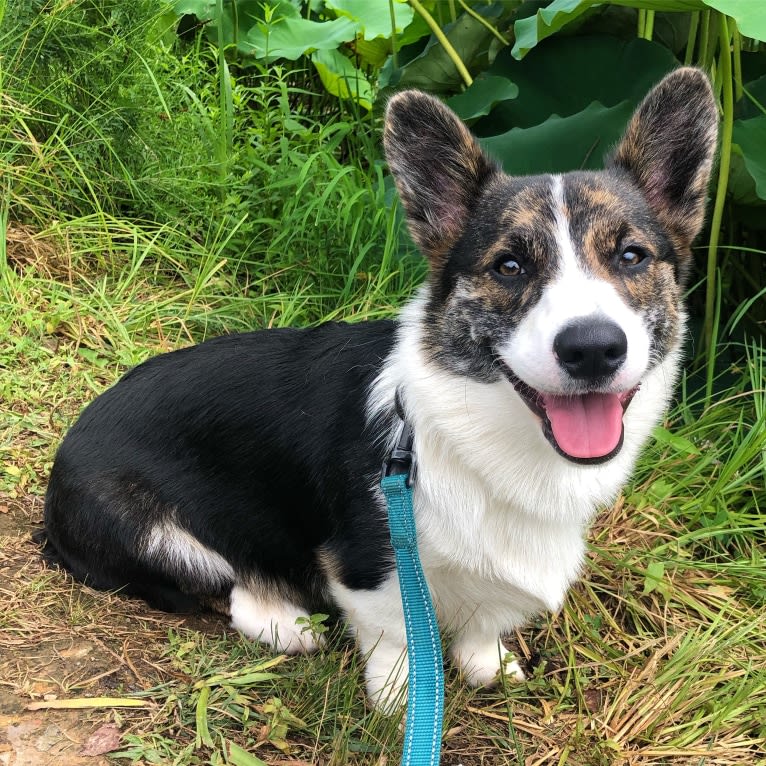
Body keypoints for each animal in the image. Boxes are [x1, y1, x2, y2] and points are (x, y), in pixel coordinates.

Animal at [40, 69, 720, 712]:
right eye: (509, 266)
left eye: (631, 256)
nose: (593, 348)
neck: (498, 442)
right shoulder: (369, 567)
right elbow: (397, 634)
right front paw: (400, 698)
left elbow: (485, 620)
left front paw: (485, 664)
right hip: (159, 537)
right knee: (223, 586)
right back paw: (286, 623)